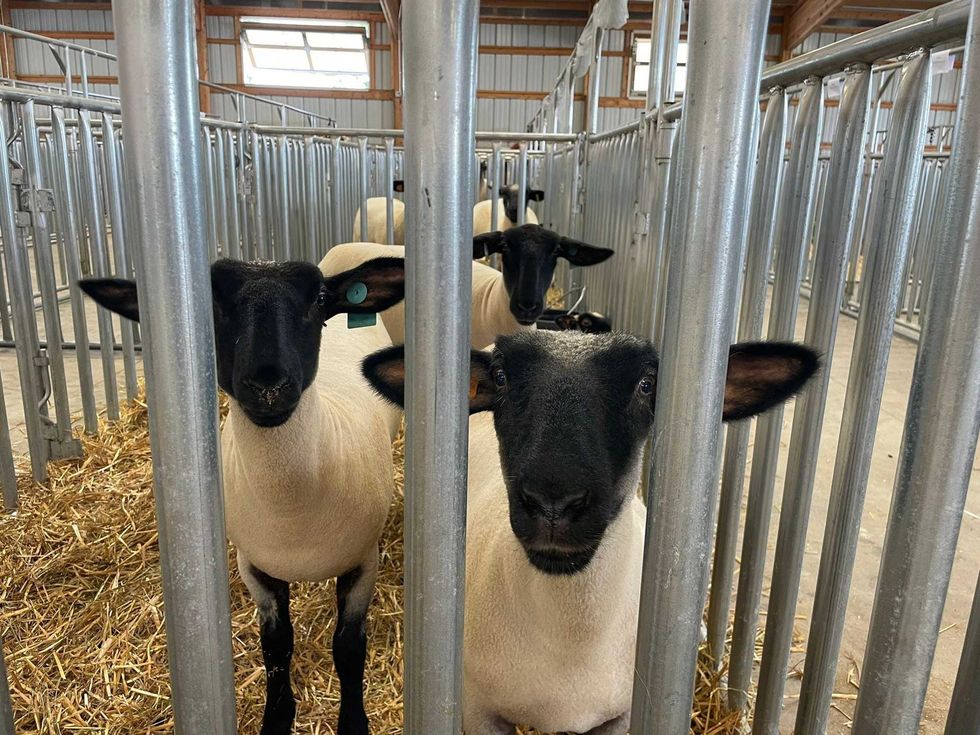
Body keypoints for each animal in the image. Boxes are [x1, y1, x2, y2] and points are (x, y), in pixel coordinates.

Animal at [79, 257, 407, 735]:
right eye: (210, 301)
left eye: (320, 299)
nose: (268, 385)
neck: (292, 509)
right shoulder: (255, 567)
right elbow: (276, 646)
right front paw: (277, 719)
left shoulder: (363, 560)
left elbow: (348, 648)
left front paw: (353, 723)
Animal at [362, 331, 820, 735]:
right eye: (501, 378)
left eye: (647, 385)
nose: (553, 503)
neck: (570, 640)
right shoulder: (478, 709)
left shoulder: (623, 716)